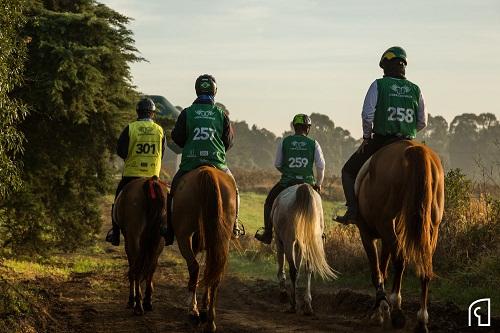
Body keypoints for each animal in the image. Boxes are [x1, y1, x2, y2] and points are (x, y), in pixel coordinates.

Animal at [114, 176, 167, 314]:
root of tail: (150, 182)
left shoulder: (129, 240)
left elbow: (133, 266)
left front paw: (131, 300)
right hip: (158, 239)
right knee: (151, 266)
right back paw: (147, 302)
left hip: (134, 237)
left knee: (136, 268)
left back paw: (137, 304)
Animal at [172, 165, 236, 330]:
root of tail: (206, 171)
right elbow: (209, 269)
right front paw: (205, 306)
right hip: (221, 238)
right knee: (215, 273)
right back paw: (210, 321)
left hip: (184, 235)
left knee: (194, 267)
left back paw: (193, 311)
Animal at [272, 183, 338, 316]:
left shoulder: (279, 240)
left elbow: (281, 263)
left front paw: (283, 291)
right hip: (309, 242)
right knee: (308, 269)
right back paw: (308, 305)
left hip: (289, 241)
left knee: (293, 270)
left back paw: (293, 305)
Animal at [356, 141, 446, 332]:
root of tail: (414, 148)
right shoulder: (385, 237)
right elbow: (383, 269)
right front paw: (381, 309)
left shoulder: (366, 233)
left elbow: (377, 272)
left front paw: (380, 310)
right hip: (432, 226)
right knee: (425, 266)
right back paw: (421, 320)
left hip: (386, 223)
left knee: (400, 260)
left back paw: (397, 310)